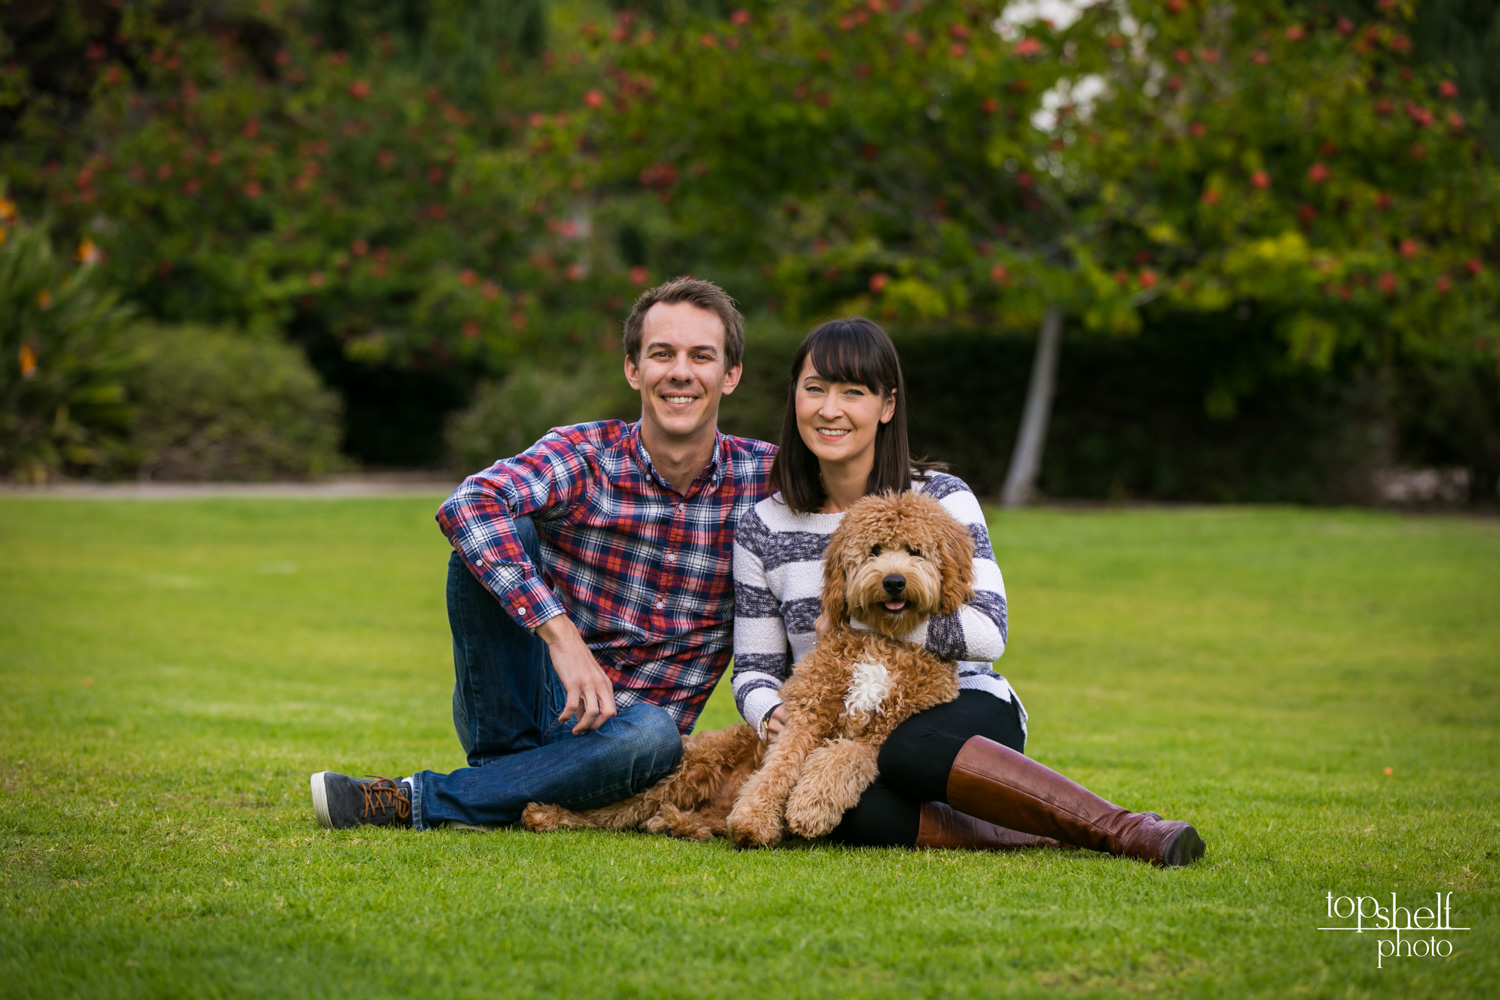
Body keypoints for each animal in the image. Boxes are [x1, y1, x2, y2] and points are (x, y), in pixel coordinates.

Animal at [522, 491, 978, 845]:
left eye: (916, 552)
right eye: (874, 551)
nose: (894, 581)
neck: (882, 641)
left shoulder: (884, 732)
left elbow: (841, 757)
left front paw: (810, 806)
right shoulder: (804, 716)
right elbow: (777, 769)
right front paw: (756, 819)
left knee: (668, 818)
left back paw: (676, 824)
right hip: (687, 768)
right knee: (616, 811)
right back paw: (549, 814)